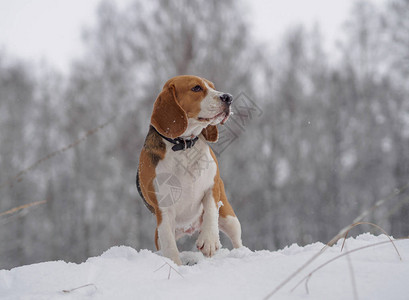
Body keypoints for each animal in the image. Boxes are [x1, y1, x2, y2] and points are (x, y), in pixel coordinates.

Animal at [135, 75, 242, 264]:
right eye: (196, 88)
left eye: (213, 86)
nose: (228, 97)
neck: (184, 146)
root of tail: (190, 228)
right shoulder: (164, 210)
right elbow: (170, 247)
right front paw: (175, 265)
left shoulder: (212, 186)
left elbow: (210, 210)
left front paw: (209, 241)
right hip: (159, 234)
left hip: (229, 218)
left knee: (237, 239)